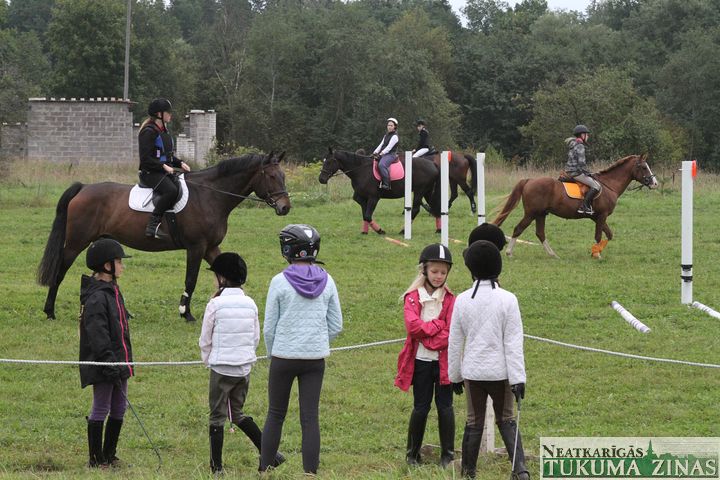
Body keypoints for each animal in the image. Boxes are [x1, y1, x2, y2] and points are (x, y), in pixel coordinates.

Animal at [38, 152, 292, 320]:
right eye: (271, 176)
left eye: (283, 175)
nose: (285, 208)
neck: (209, 196)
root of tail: (83, 188)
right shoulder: (196, 247)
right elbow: (191, 279)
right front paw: (185, 313)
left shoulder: (211, 247)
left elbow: (223, 275)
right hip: (76, 242)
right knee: (60, 271)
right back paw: (50, 311)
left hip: (102, 241)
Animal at [492, 155, 656, 258]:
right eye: (643, 167)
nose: (655, 183)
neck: (609, 185)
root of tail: (529, 180)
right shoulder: (601, 216)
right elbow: (599, 236)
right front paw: (597, 254)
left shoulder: (597, 218)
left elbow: (609, 235)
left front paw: (595, 251)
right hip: (531, 213)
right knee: (518, 229)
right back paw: (509, 253)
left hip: (540, 214)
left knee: (540, 233)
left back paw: (553, 254)